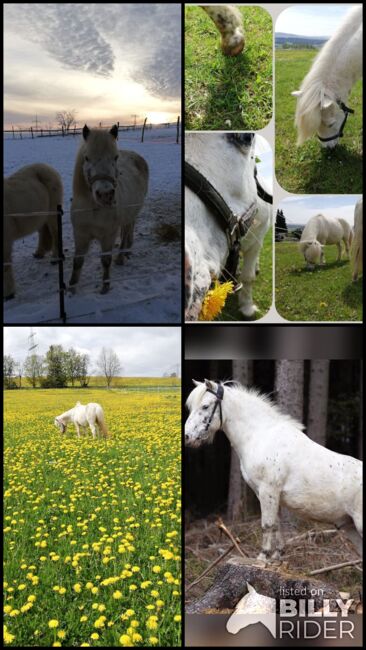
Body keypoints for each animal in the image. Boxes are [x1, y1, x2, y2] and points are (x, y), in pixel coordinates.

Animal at [4, 165, 63, 302]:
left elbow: (5, 268)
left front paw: (9, 294)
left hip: (52, 213)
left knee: (55, 233)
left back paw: (55, 259)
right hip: (41, 216)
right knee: (43, 232)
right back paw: (39, 253)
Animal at [186, 378, 364, 560]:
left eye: (205, 406)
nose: (187, 436)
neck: (261, 436)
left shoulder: (268, 491)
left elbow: (267, 524)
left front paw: (262, 556)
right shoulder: (266, 494)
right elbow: (276, 524)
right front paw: (277, 555)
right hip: (350, 527)